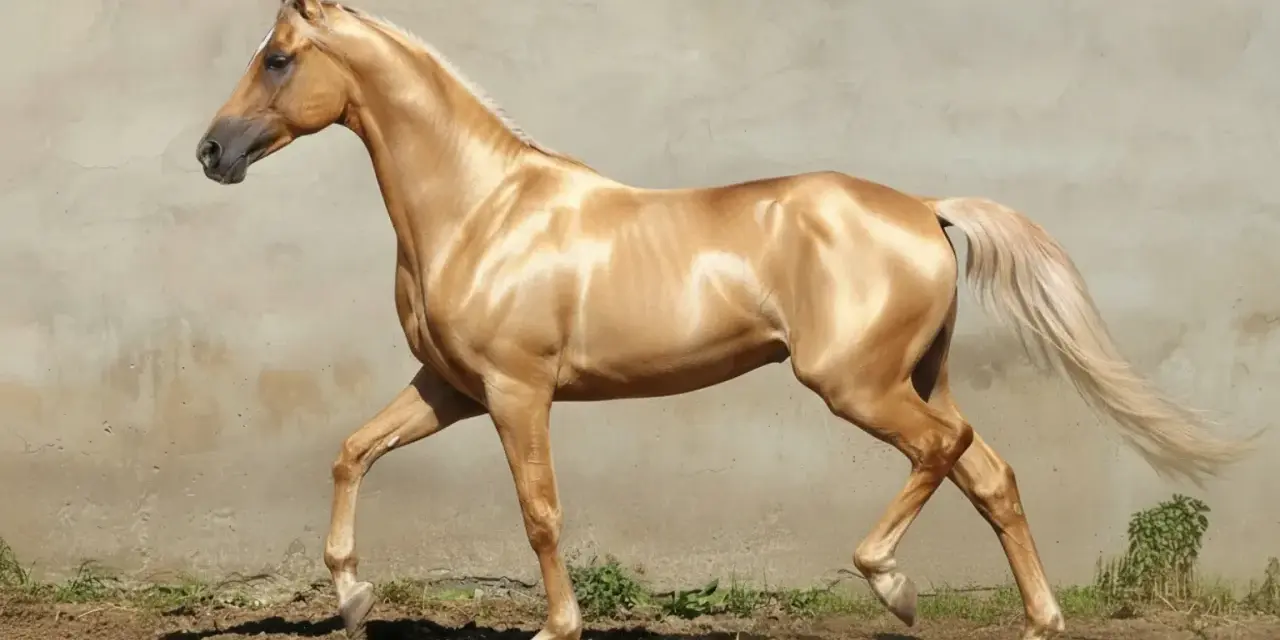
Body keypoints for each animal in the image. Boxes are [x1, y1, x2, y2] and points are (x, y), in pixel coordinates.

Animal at [194, 2, 1254, 638]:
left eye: (277, 59)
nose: (212, 152)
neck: (483, 209)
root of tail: (925, 209)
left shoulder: (515, 391)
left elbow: (539, 511)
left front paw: (556, 624)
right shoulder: (450, 388)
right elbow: (351, 452)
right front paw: (352, 594)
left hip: (855, 384)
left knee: (943, 451)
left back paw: (893, 583)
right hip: (917, 375)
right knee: (988, 472)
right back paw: (1038, 618)